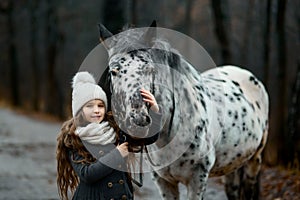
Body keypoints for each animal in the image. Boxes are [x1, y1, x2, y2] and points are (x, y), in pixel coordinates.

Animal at [98, 22, 270, 199]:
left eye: (150, 70)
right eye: (113, 72)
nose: (138, 120)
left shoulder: (197, 179)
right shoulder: (163, 181)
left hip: (254, 160)